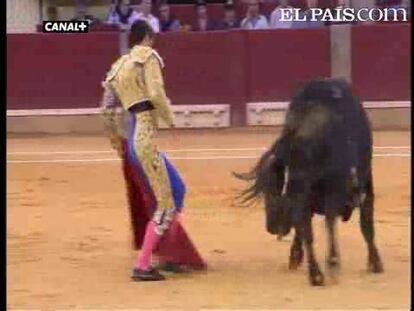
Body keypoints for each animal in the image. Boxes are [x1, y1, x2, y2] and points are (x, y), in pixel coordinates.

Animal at [234, 78, 384, 288]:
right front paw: (375, 263)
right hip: (332, 184)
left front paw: (295, 257)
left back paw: (315, 273)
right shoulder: (364, 182)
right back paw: (330, 265)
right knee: (327, 219)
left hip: (301, 182)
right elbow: (366, 223)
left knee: (303, 220)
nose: (271, 227)